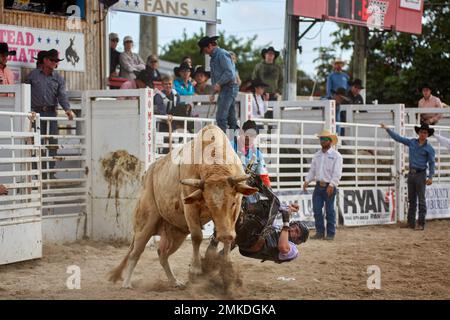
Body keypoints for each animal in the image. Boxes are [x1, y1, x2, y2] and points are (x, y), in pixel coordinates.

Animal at [107, 124, 258, 288]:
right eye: (209, 205)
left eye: (233, 203)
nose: (225, 235)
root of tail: (148, 174)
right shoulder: (190, 209)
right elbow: (197, 237)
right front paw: (196, 269)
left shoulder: (235, 211)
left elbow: (228, 234)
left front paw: (227, 263)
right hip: (145, 224)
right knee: (135, 253)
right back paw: (127, 283)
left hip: (177, 233)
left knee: (162, 255)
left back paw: (175, 281)